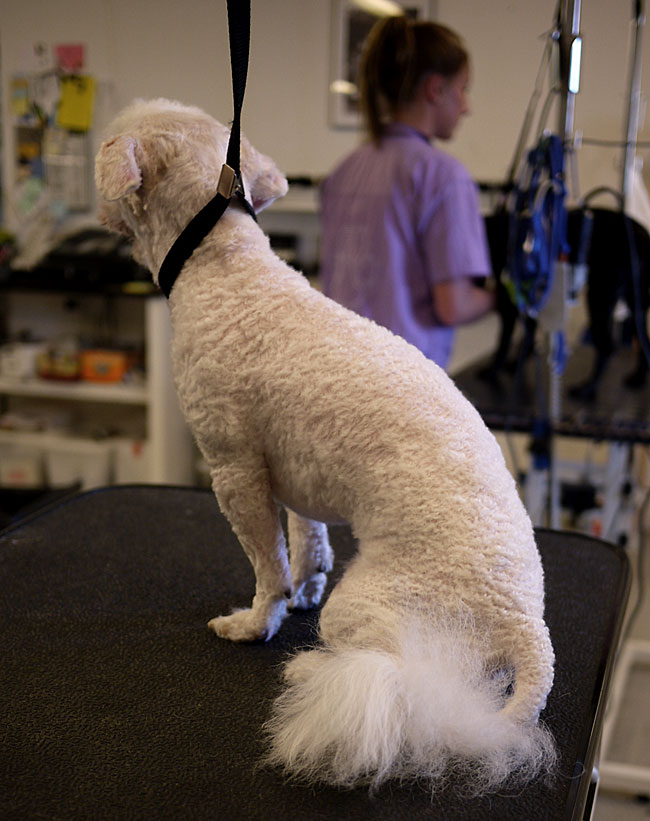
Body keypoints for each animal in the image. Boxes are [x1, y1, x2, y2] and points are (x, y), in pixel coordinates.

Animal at [95, 97, 552, 796]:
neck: (227, 269)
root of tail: (526, 634)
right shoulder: (291, 473)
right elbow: (305, 540)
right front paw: (306, 583)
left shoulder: (234, 470)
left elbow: (268, 566)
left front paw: (257, 623)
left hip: (380, 609)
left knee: (401, 678)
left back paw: (314, 674)